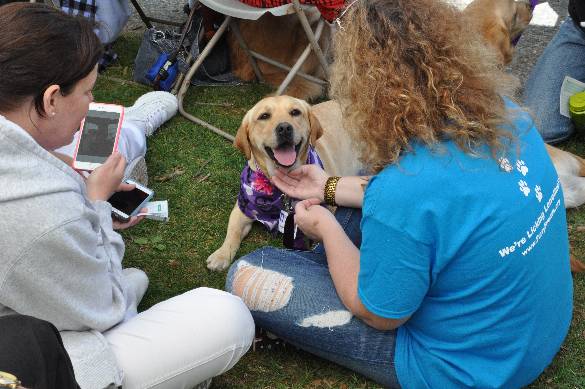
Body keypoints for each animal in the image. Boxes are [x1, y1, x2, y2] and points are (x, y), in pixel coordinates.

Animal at [205, 96, 360, 270]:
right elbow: (233, 231)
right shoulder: (242, 207)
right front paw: (221, 254)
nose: (285, 128)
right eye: (264, 116)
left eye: (295, 112)